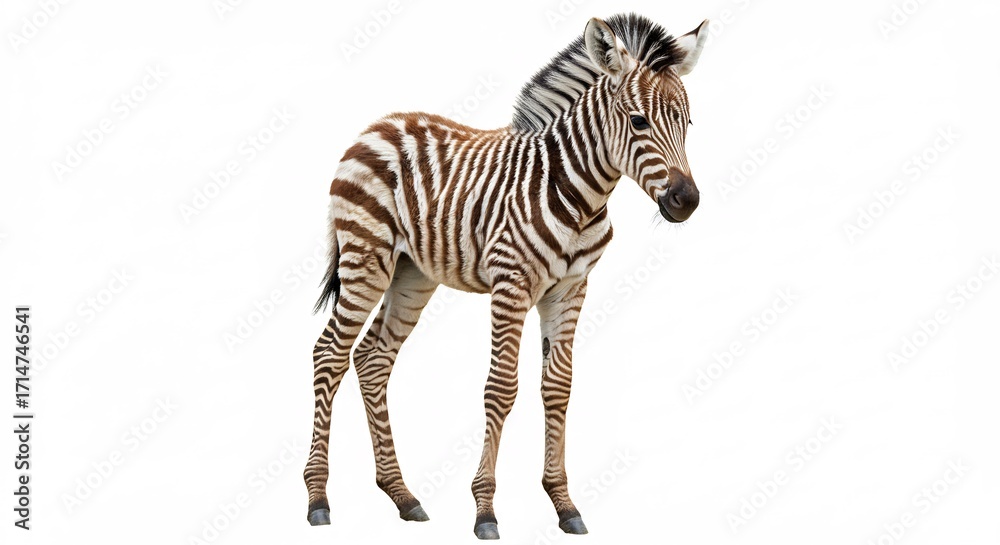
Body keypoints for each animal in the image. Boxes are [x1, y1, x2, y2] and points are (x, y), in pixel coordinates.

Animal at [304, 12, 708, 539]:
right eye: (639, 121)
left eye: (687, 122)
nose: (687, 201)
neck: (579, 195)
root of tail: (377, 126)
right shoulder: (511, 284)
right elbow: (501, 389)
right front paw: (485, 511)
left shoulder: (571, 289)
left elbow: (558, 386)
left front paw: (563, 503)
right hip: (365, 257)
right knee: (329, 353)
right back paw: (317, 497)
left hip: (411, 275)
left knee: (373, 360)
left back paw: (402, 495)